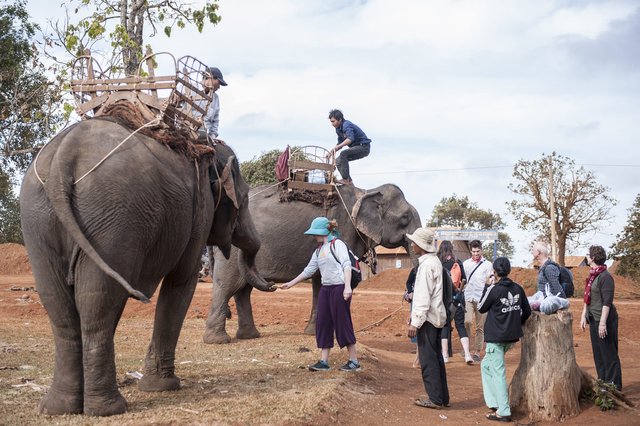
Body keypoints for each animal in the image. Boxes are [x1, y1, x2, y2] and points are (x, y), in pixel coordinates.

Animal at [18, 115, 272, 416]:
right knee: (97, 304)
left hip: (38, 218)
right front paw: (163, 387)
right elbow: (180, 282)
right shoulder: (198, 215)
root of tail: (63, 159)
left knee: (62, 306)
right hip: (113, 217)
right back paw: (108, 408)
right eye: (244, 198)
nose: (272, 285)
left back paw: (59, 408)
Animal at [204, 182, 420, 342]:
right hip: (232, 251)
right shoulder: (343, 231)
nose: (272, 285)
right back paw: (218, 341)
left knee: (242, 290)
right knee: (227, 286)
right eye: (405, 217)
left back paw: (249, 336)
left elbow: (321, 281)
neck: (366, 191)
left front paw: (315, 332)